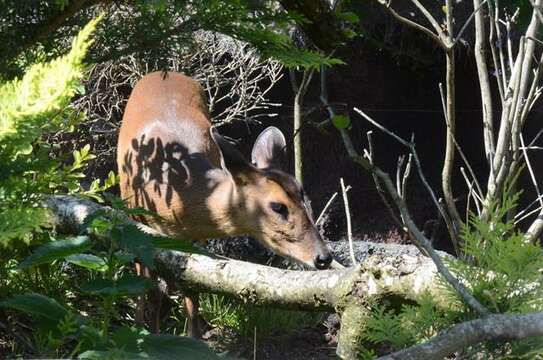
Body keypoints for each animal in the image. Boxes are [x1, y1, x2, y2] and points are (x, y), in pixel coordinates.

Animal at [117, 71, 334, 338]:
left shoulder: (197, 239)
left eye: (302, 194)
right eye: (278, 206)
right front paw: (145, 335)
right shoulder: (140, 225)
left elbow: (193, 290)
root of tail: (160, 73)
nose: (323, 257)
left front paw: (194, 338)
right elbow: (150, 292)